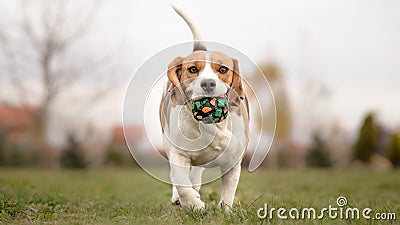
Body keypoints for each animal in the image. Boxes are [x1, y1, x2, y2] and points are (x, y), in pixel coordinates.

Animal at [160, 6, 248, 212]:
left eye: (223, 70)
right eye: (192, 69)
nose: (208, 83)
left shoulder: (233, 161)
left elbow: (228, 191)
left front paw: (225, 210)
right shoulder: (178, 153)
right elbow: (181, 183)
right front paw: (194, 205)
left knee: (196, 172)